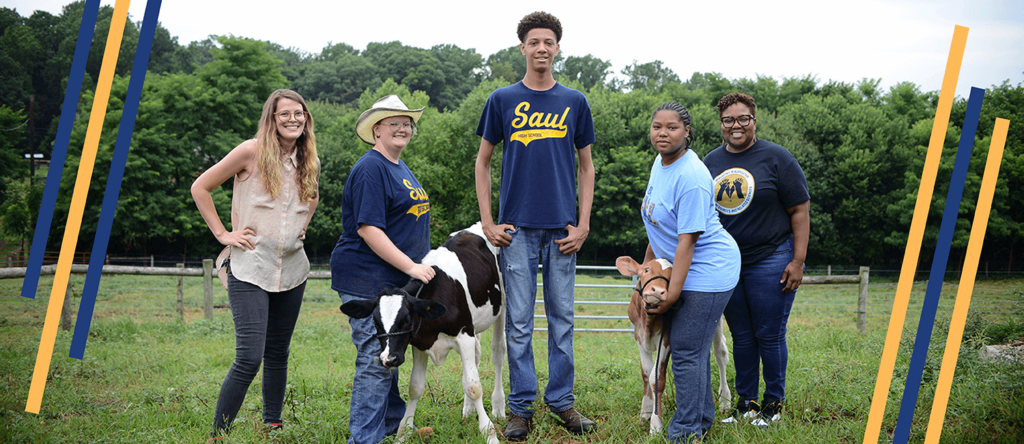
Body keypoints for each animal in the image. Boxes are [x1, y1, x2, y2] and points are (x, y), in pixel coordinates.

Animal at [342, 224, 505, 444]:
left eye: (406, 320)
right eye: (376, 322)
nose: (388, 359)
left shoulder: (464, 335)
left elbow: (473, 386)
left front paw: (489, 433)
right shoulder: (421, 343)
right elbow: (415, 387)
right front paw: (403, 433)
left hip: (502, 308)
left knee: (498, 353)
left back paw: (498, 408)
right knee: (477, 357)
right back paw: (469, 410)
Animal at [610, 256, 733, 433]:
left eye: (671, 276)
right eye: (646, 269)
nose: (658, 291)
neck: (648, 321)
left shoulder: (666, 338)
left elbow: (656, 377)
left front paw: (656, 424)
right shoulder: (639, 336)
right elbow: (646, 373)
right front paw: (646, 411)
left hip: (717, 318)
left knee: (720, 353)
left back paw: (725, 400)